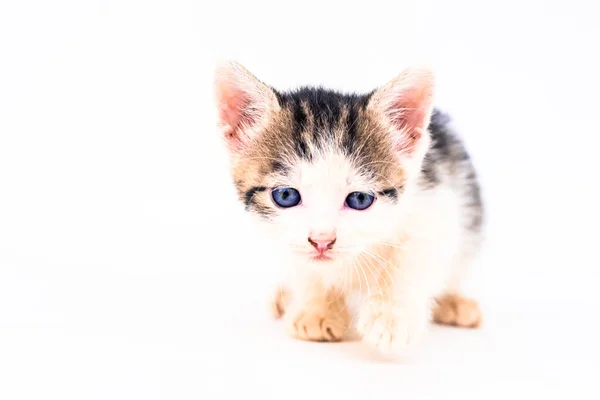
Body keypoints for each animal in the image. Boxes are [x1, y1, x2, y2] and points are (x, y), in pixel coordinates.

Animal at [214, 61, 482, 356]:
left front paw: (390, 316)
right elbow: (303, 267)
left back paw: (454, 303)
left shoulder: (434, 202)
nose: (322, 240)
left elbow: (413, 258)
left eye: (359, 199)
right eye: (285, 195)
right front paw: (317, 310)